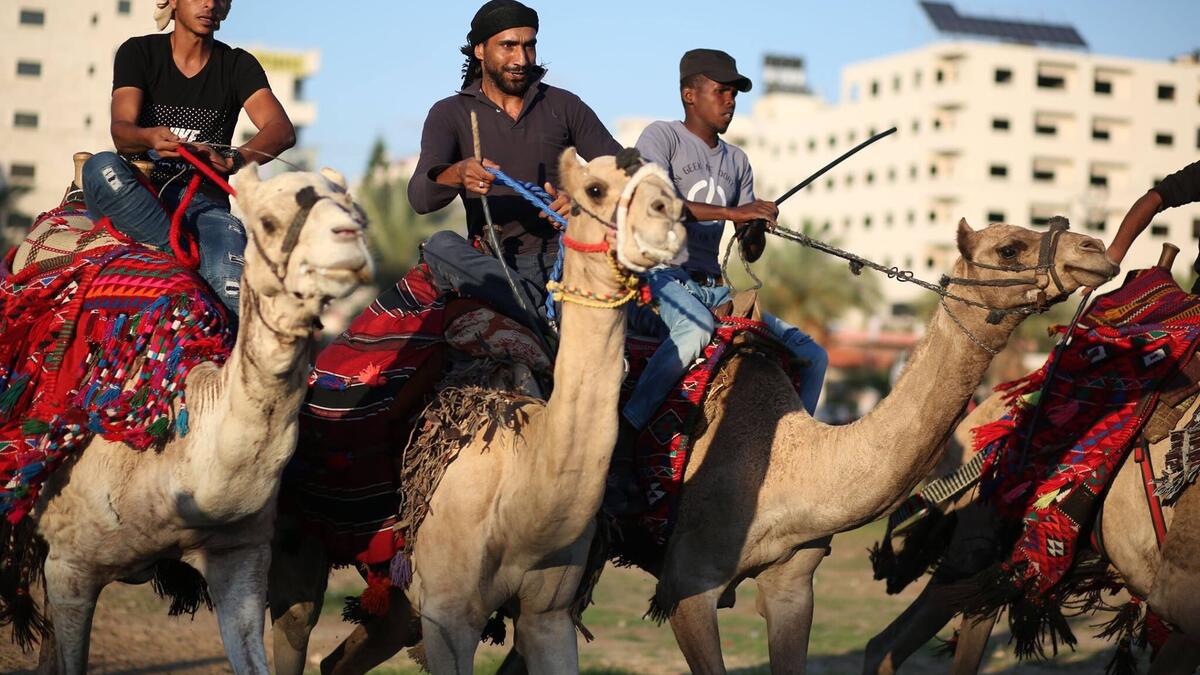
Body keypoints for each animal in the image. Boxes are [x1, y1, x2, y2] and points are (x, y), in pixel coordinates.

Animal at [267, 148, 687, 675]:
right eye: (595, 189)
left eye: (665, 183)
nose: (668, 220)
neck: (520, 488)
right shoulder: (448, 615)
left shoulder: (547, 615)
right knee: (293, 624)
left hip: (400, 598)